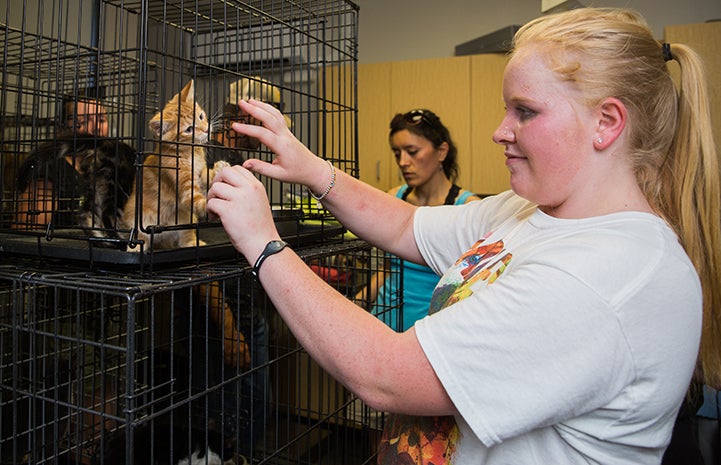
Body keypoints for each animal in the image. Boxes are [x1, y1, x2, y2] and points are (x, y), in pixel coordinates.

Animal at [120, 79, 228, 250]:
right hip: (137, 219)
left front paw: (217, 168)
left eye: (201, 116)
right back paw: (135, 248)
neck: (190, 152)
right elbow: (193, 198)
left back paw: (193, 243)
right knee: (140, 237)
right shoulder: (183, 185)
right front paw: (210, 204)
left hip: (187, 219)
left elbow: (204, 176)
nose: (206, 129)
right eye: (189, 129)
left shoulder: (197, 175)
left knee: (185, 237)